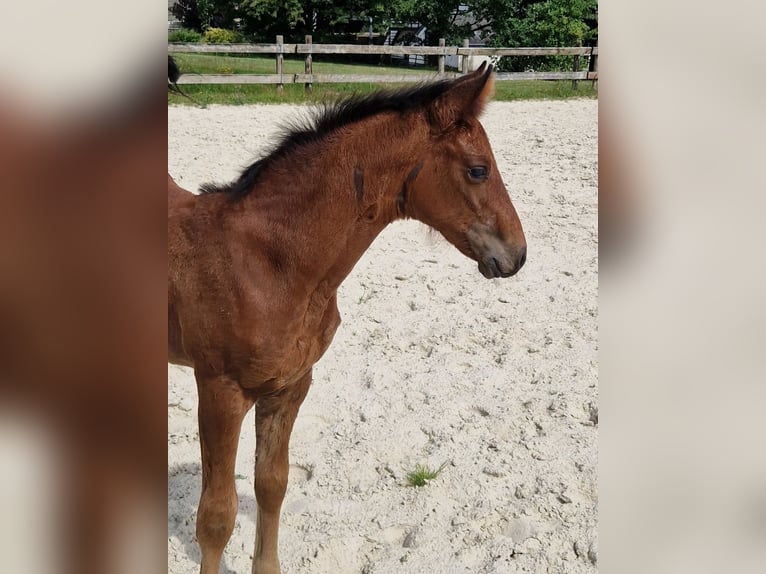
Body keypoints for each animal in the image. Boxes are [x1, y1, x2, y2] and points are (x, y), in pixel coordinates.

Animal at [168, 62, 526, 574]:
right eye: (479, 170)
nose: (517, 254)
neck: (268, 261)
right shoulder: (220, 390)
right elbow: (216, 517)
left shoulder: (290, 386)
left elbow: (271, 485)